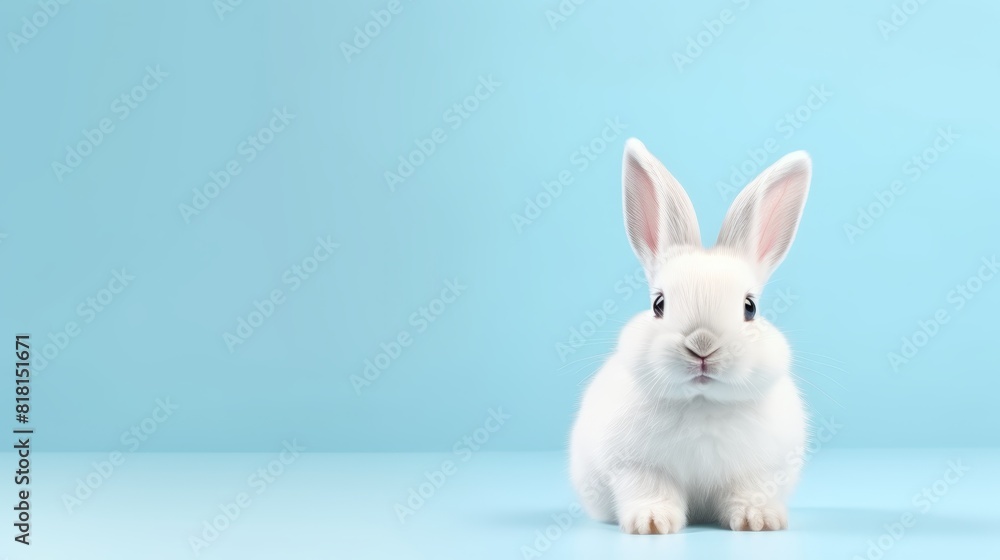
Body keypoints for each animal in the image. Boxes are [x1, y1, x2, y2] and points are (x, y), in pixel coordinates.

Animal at [569, 138, 811, 534]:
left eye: (749, 307)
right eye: (658, 304)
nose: (702, 346)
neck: (702, 402)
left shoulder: (758, 472)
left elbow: (750, 492)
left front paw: (758, 521)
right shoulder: (637, 468)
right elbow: (651, 491)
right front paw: (652, 523)